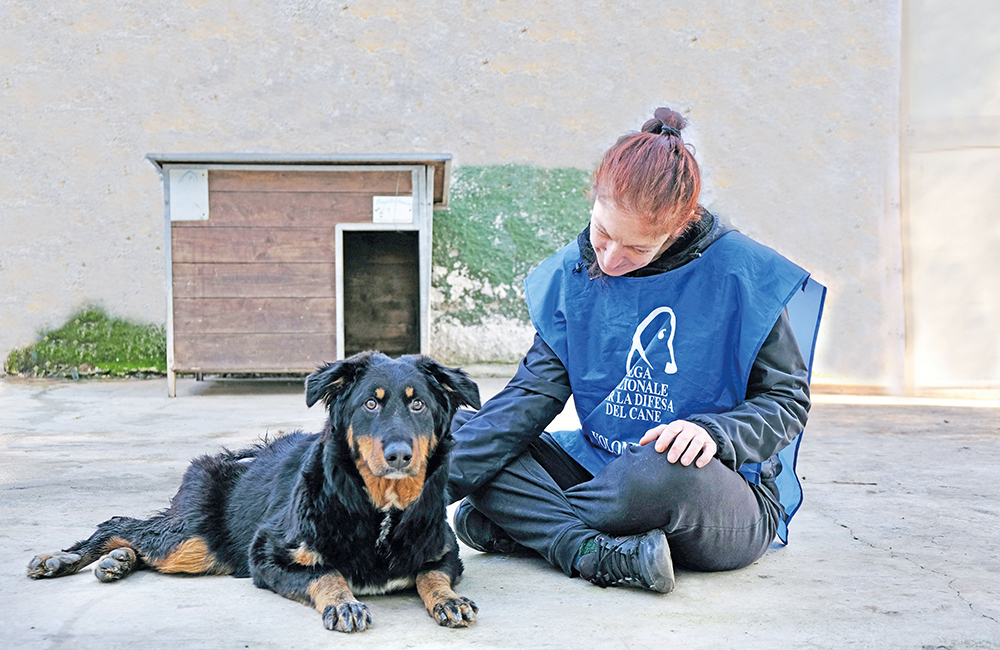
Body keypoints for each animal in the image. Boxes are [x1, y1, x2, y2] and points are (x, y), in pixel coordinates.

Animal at [29, 352, 482, 632]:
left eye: (418, 405)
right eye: (371, 404)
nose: (399, 455)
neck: (382, 510)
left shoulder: (445, 553)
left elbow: (431, 574)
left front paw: (448, 599)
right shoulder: (266, 553)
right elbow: (326, 573)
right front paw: (343, 602)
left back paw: (119, 562)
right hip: (195, 541)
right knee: (119, 523)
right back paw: (63, 560)